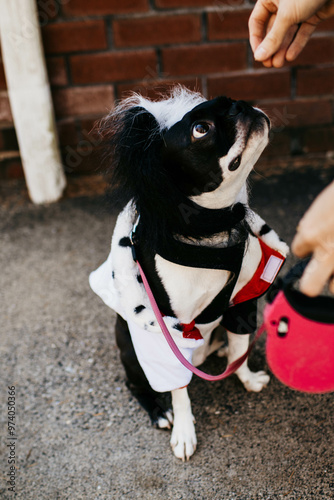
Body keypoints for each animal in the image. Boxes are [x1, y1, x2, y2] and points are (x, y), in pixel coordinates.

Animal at [90, 86, 288, 460]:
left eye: (232, 101)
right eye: (201, 129)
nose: (241, 106)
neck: (209, 227)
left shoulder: (242, 302)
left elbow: (240, 346)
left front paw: (247, 377)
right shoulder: (170, 328)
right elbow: (179, 389)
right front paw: (183, 430)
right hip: (131, 346)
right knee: (137, 383)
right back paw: (158, 411)